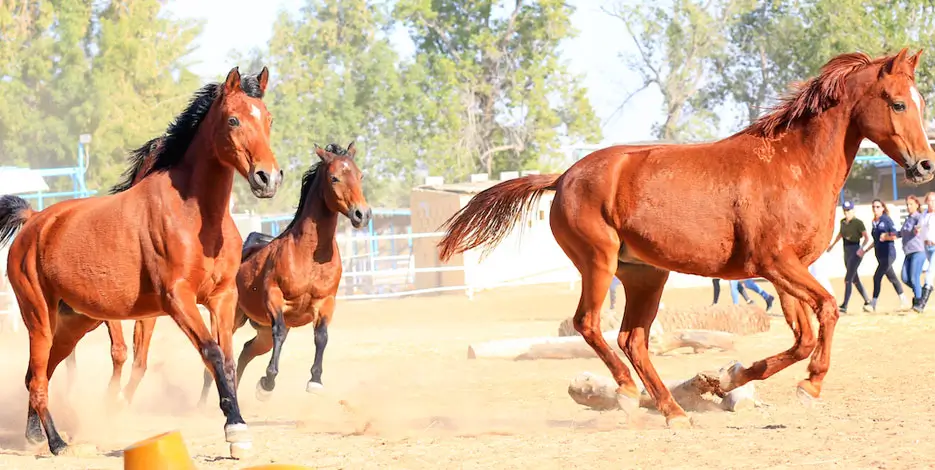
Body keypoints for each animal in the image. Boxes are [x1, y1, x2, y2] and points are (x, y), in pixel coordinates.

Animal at [0, 66, 282, 458]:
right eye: (233, 119)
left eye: (268, 118)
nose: (267, 178)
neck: (195, 215)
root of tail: (34, 220)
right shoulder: (177, 300)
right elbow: (210, 353)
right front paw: (236, 428)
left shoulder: (222, 298)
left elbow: (225, 359)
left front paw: (236, 430)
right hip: (39, 318)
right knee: (38, 379)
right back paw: (57, 443)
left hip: (72, 325)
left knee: (36, 374)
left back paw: (34, 436)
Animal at [437, 48, 935, 428]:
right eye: (897, 103)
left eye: (920, 102)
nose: (925, 165)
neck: (793, 165)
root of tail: (563, 177)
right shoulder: (777, 265)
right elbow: (827, 312)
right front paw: (809, 385)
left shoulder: (789, 271)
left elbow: (803, 337)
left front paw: (726, 379)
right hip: (599, 262)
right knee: (589, 324)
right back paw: (625, 392)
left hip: (645, 276)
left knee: (632, 339)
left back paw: (672, 410)